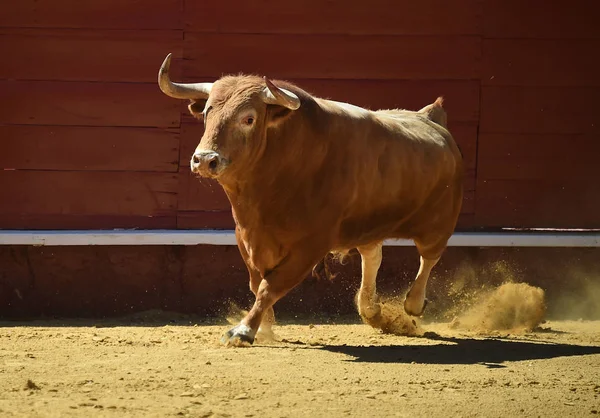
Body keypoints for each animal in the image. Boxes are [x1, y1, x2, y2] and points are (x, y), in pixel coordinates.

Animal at [158, 54, 464, 348]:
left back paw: (412, 304)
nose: (204, 160)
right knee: (373, 255)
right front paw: (265, 327)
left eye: (249, 119)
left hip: (439, 224)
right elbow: (257, 283)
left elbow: (270, 286)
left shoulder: (310, 246)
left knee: (428, 257)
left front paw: (244, 331)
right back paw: (371, 310)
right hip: (368, 224)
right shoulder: (244, 236)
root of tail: (430, 117)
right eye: (207, 113)